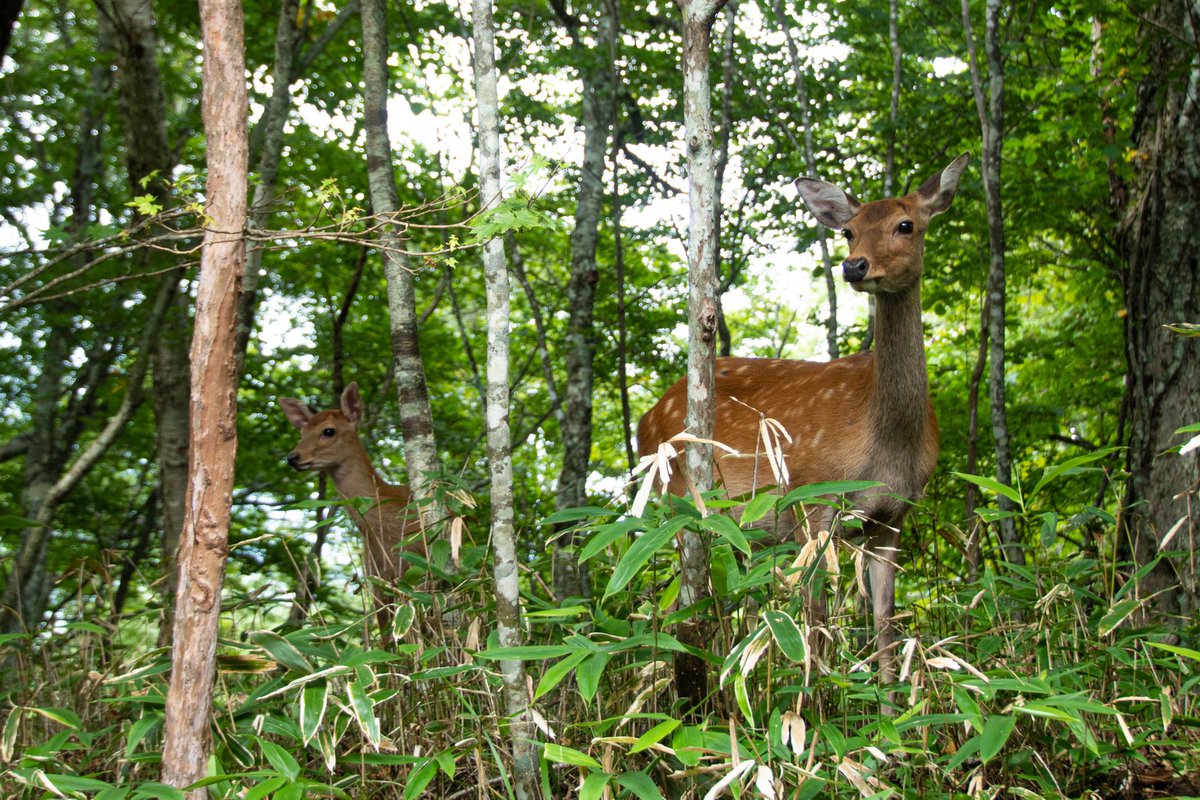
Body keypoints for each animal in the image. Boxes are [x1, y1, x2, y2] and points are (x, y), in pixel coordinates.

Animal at [636, 153, 970, 691]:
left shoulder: (893, 515)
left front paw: (891, 709)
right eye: (849, 231)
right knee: (679, 606)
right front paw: (815, 702)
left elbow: (884, 623)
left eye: (906, 225)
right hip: (678, 502)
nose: (854, 265)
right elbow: (814, 622)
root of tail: (645, 419)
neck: (886, 442)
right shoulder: (811, 499)